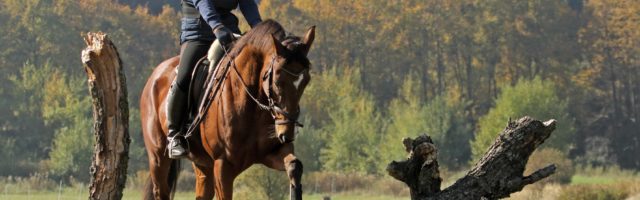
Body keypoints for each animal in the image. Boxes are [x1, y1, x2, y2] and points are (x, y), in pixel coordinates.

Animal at [141, 20, 316, 200]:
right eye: (277, 79)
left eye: (306, 81)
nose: (287, 133)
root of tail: (155, 75)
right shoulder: (223, 164)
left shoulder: (273, 152)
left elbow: (294, 166)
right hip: (158, 158)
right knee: (160, 190)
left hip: (203, 164)